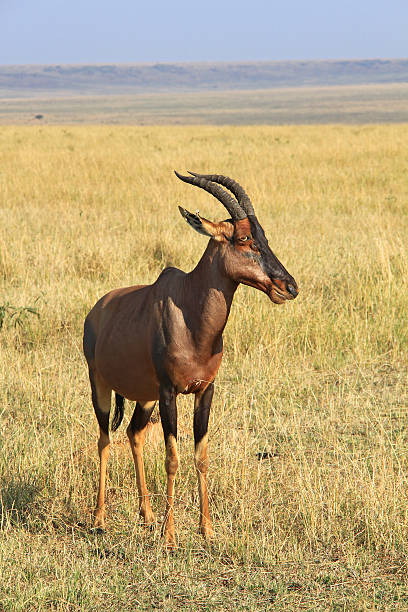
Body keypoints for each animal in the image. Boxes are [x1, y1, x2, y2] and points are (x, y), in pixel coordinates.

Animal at [83, 170, 300, 548]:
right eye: (244, 238)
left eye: (264, 236)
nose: (288, 287)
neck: (189, 310)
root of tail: (97, 309)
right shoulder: (170, 392)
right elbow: (172, 458)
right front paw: (170, 537)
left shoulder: (204, 390)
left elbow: (201, 456)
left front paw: (207, 530)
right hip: (102, 385)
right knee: (104, 439)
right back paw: (100, 519)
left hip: (145, 397)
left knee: (134, 435)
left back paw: (147, 516)